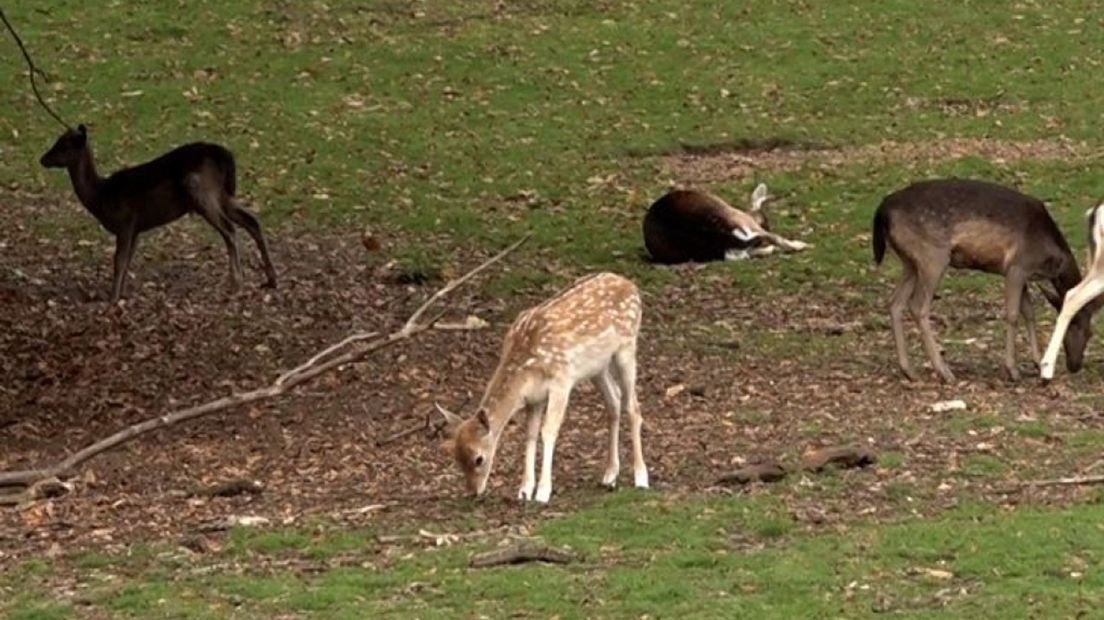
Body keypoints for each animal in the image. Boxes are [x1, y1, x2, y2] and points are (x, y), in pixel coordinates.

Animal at [40, 123, 278, 302]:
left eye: (63, 145)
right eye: (58, 140)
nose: (42, 159)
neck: (101, 197)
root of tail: (225, 156)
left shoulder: (125, 221)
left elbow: (119, 261)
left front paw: (112, 299)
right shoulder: (135, 229)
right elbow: (127, 261)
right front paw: (121, 294)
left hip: (201, 190)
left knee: (229, 229)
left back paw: (237, 284)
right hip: (222, 194)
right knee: (252, 221)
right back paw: (271, 279)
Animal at [437, 271, 649, 503]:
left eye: (479, 458)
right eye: (456, 457)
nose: (473, 492)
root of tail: (631, 285)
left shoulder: (561, 380)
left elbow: (548, 431)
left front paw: (543, 491)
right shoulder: (534, 397)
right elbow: (530, 435)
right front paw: (524, 490)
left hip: (627, 347)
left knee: (634, 407)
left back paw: (641, 476)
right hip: (597, 367)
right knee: (614, 400)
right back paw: (610, 475)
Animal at [869, 176, 1095, 381]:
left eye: (1090, 332)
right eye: (1078, 326)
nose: (1075, 365)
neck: (1051, 257)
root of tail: (883, 209)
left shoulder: (1022, 274)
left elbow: (1029, 313)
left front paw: (1038, 363)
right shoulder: (1017, 266)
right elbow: (1013, 314)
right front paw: (1012, 370)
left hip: (909, 262)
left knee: (895, 303)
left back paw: (909, 370)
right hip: (932, 255)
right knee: (917, 306)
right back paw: (944, 372)